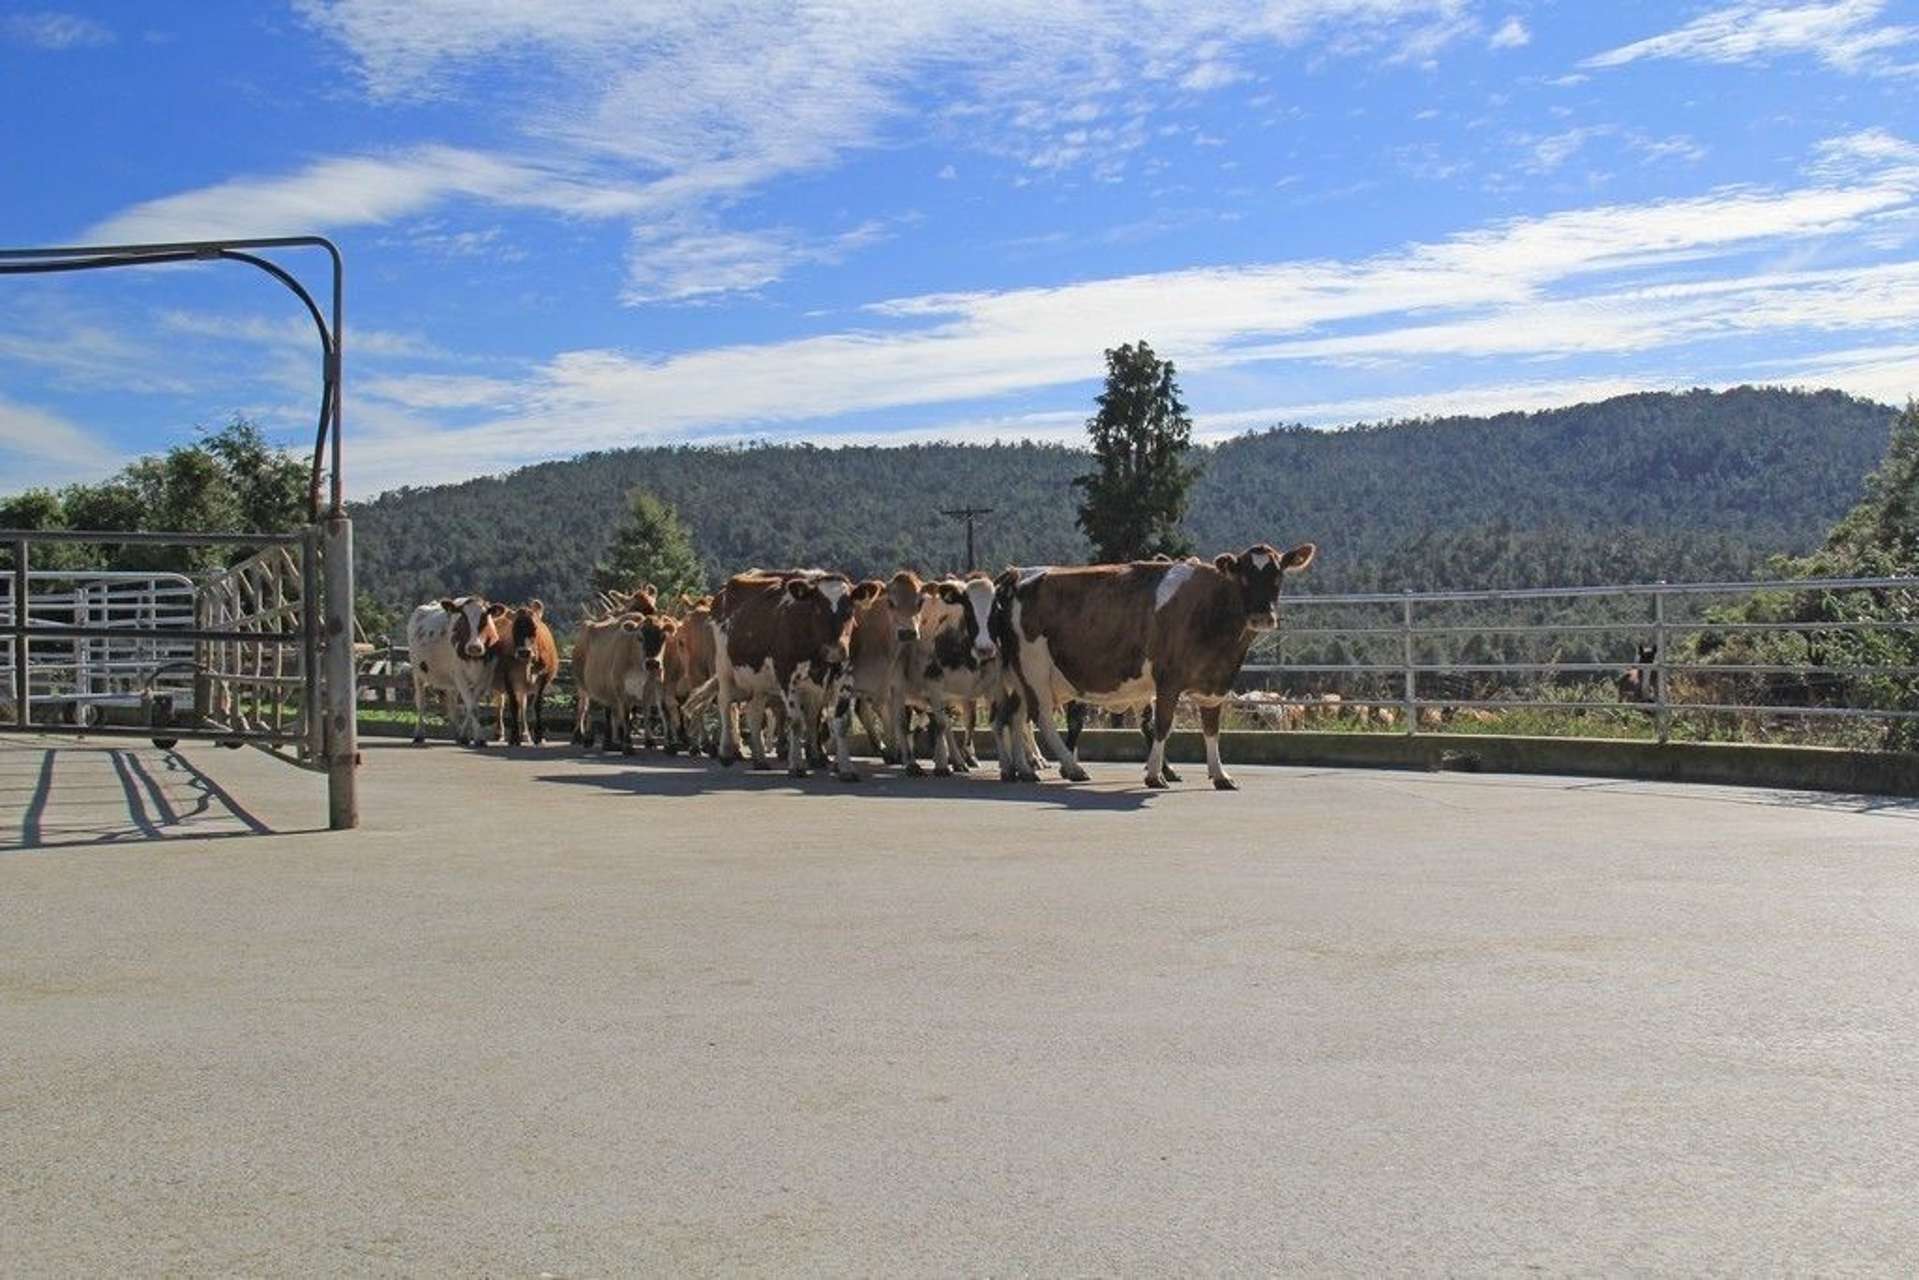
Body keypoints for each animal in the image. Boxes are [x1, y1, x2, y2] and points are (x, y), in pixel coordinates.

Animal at [406, 594, 510, 744]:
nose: (474, 647)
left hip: (450, 683)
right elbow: (472, 707)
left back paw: (456, 733)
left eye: (485, 618)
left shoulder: (485, 676)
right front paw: (479, 738)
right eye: (463, 618)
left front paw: (464, 736)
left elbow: (471, 706)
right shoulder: (459, 675)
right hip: (418, 673)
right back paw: (419, 734)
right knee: (421, 703)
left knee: (452, 707)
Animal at [491, 602, 560, 744]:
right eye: (513, 629)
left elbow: (536, 705)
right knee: (500, 704)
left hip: (522, 686)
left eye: (535, 627)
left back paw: (525, 734)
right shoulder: (508, 678)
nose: (524, 652)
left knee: (522, 706)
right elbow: (513, 706)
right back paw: (499, 733)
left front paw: (539, 736)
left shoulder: (544, 678)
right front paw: (514, 736)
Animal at [990, 548, 1320, 790]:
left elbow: (1211, 729)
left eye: (1278, 576)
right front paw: (1154, 775)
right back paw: (1072, 768)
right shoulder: (1168, 680)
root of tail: (1018, 574)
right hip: (1035, 670)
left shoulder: (1214, 684)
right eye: (1244, 577)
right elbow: (1162, 725)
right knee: (1041, 719)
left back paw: (1023, 769)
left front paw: (1220, 775)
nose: (1263, 615)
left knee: (1015, 717)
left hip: (1021, 676)